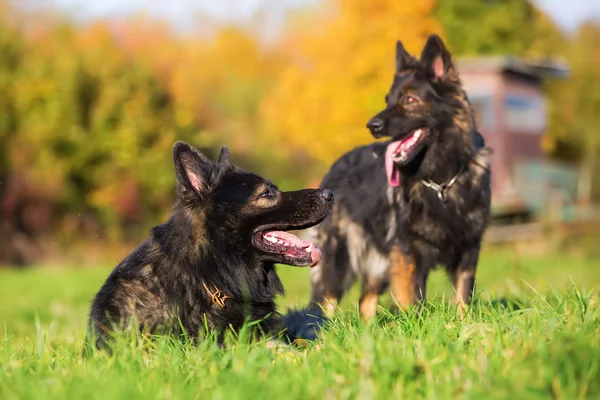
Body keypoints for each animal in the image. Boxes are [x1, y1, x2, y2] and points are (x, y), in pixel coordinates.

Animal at [312, 36, 490, 320]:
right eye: (388, 99)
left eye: (409, 99)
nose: (372, 125)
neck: (440, 180)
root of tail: (334, 167)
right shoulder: (407, 249)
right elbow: (411, 298)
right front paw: (414, 325)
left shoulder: (468, 247)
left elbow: (463, 296)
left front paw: (464, 325)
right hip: (340, 260)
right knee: (324, 302)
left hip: (379, 263)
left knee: (365, 300)